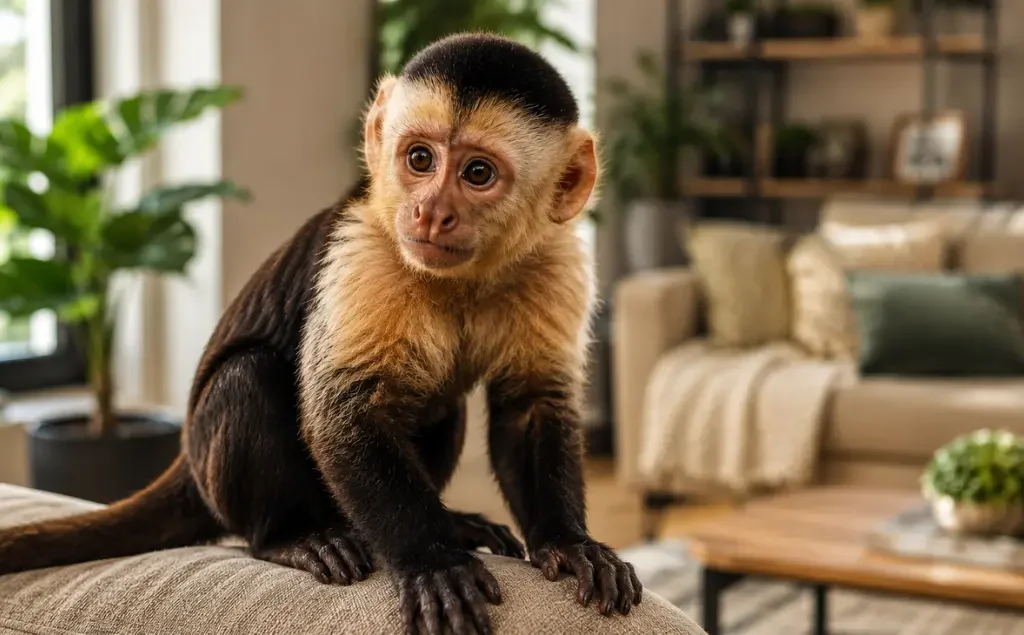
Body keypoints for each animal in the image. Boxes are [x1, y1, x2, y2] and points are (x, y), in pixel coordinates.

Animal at [0, 32, 642, 635]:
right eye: (420, 159)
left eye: (477, 173)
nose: (430, 212)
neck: (467, 277)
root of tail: (186, 460)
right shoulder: (367, 250)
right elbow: (344, 415)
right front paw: (432, 560)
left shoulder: (557, 259)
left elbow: (532, 405)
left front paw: (568, 544)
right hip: (216, 470)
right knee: (249, 377)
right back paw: (291, 537)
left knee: (443, 405)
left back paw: (452, 521)